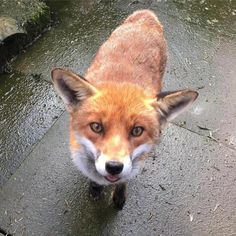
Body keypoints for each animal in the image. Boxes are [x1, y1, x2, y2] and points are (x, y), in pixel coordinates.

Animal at [51, 10, 197, 210]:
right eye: (96, 127)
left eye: (137, 130)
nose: (113, 167)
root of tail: (145, 15)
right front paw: (95, 188)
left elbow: (123, 181)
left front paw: (119, 195)